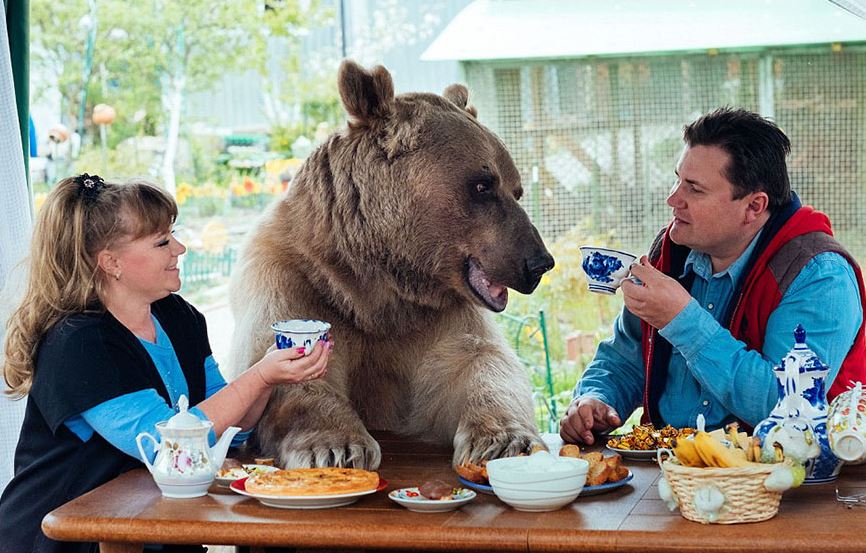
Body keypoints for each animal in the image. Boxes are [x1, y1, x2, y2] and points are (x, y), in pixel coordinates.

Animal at [228, 60, 552, 468]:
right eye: (483, 185)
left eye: (516, 189)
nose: (539, 262)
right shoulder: (294, 279)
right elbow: (285, 366)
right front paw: (335, 447)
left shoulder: (436, 317)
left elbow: (479, 363)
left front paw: (505, 441)